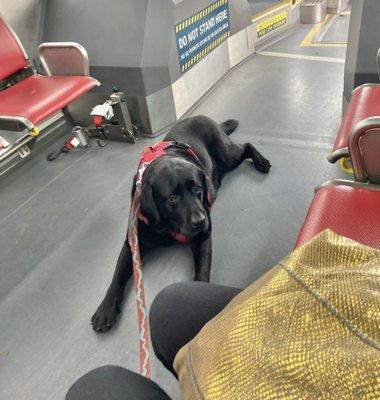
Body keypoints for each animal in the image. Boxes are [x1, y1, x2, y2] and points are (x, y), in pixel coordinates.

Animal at [92, 115, 270, 332]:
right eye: (172, 198)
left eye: (198, 188)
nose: (201, 220)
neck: (167, 225)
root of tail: (203, 116)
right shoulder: (132, 244)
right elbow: (116, 277)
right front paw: (106, 309)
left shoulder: (203, 237)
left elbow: (202, 272)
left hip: (227, 154)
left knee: (246, 146)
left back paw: (261, 162)